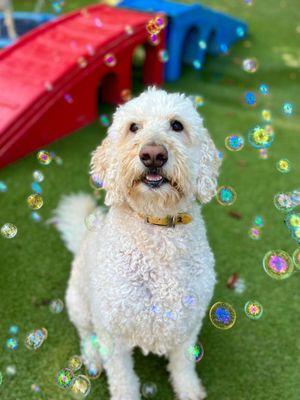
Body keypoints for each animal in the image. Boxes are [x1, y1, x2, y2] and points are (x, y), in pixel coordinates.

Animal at [55, 88, 220, 400]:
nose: (153, 155)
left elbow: (183, 365)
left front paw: (189, 389)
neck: (158, 229)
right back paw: (92, 358)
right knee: (85, 334)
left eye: (177, 125)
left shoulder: (188, 322)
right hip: (79, 303)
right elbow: (123, 379)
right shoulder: (112, 331)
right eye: (133, 127)